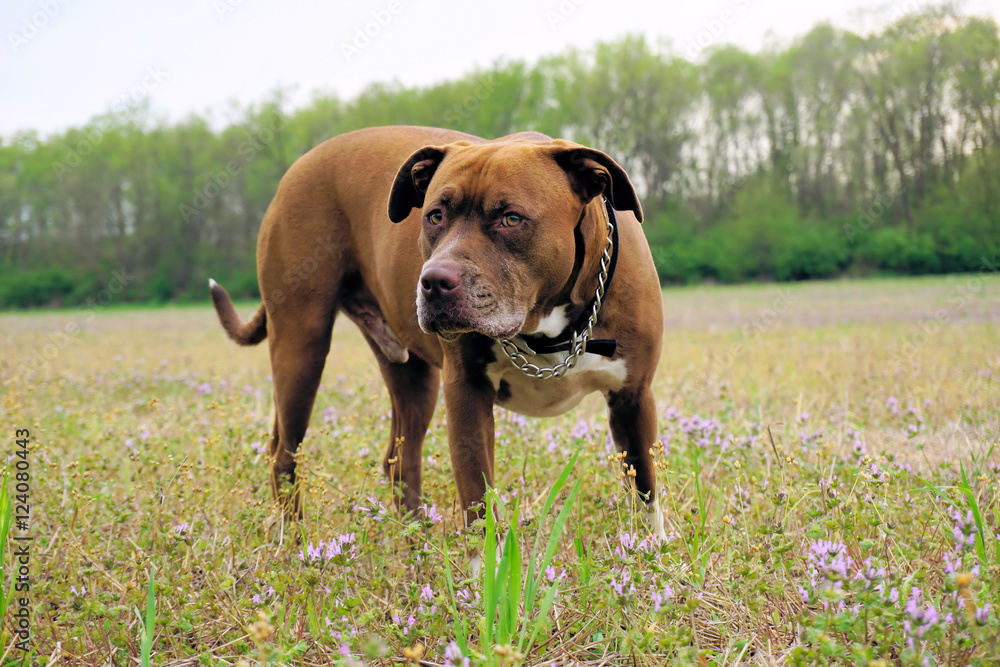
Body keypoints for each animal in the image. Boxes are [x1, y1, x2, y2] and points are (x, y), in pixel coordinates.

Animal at [209, 126, 664, 536]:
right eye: (435, 216)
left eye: (511, 218)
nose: (433, 282)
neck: (547, 325)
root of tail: (299, 166)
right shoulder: (466, 393)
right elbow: (478, 504)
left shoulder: (633, 396)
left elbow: (645, 488)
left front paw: (650, 552)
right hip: (301, 347)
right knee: (285, 455)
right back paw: (295, 541)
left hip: (411, 376)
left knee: (400, 458)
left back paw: (415, 540)